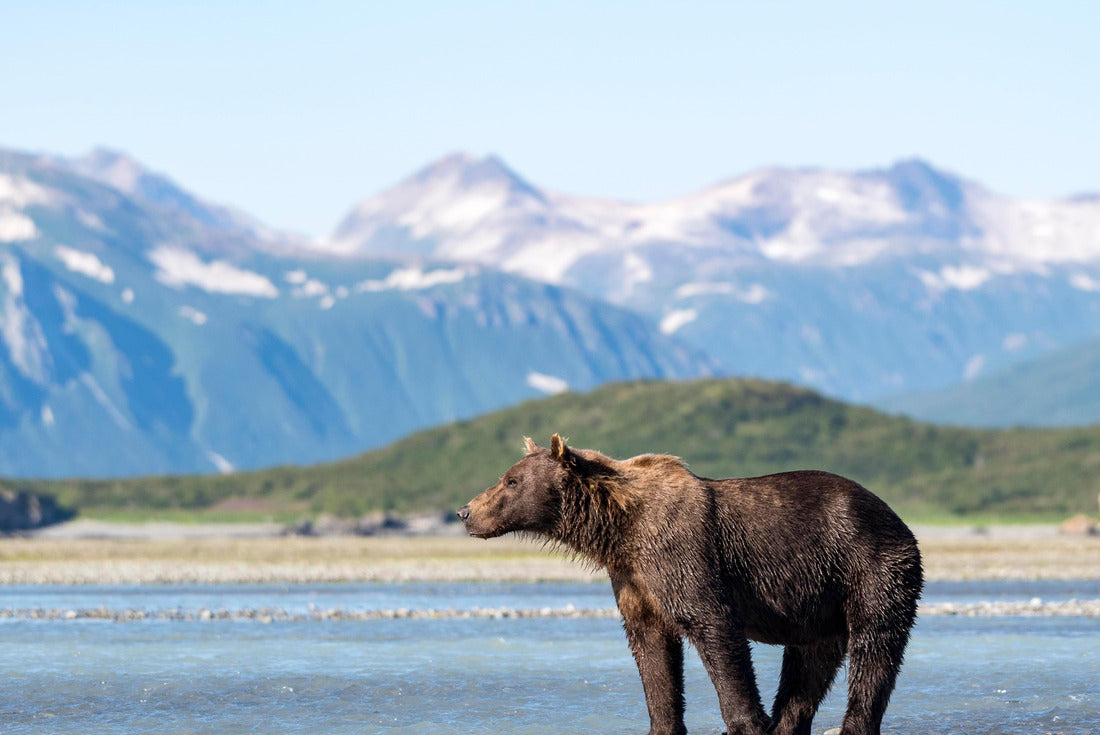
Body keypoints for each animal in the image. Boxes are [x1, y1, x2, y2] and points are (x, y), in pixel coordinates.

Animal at [457, 434, 923, 735]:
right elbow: (652, 650)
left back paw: (852, 724)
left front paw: (746, 723)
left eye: (511, 481)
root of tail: (898, 518)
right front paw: (661, 724)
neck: (619, 529)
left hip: (869, 565)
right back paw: (787, 724)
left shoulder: (680, 553)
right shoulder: (635, 579)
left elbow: (712, 627)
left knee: (874, 647)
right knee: (810, 663)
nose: (465, 512)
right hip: (820, 601)